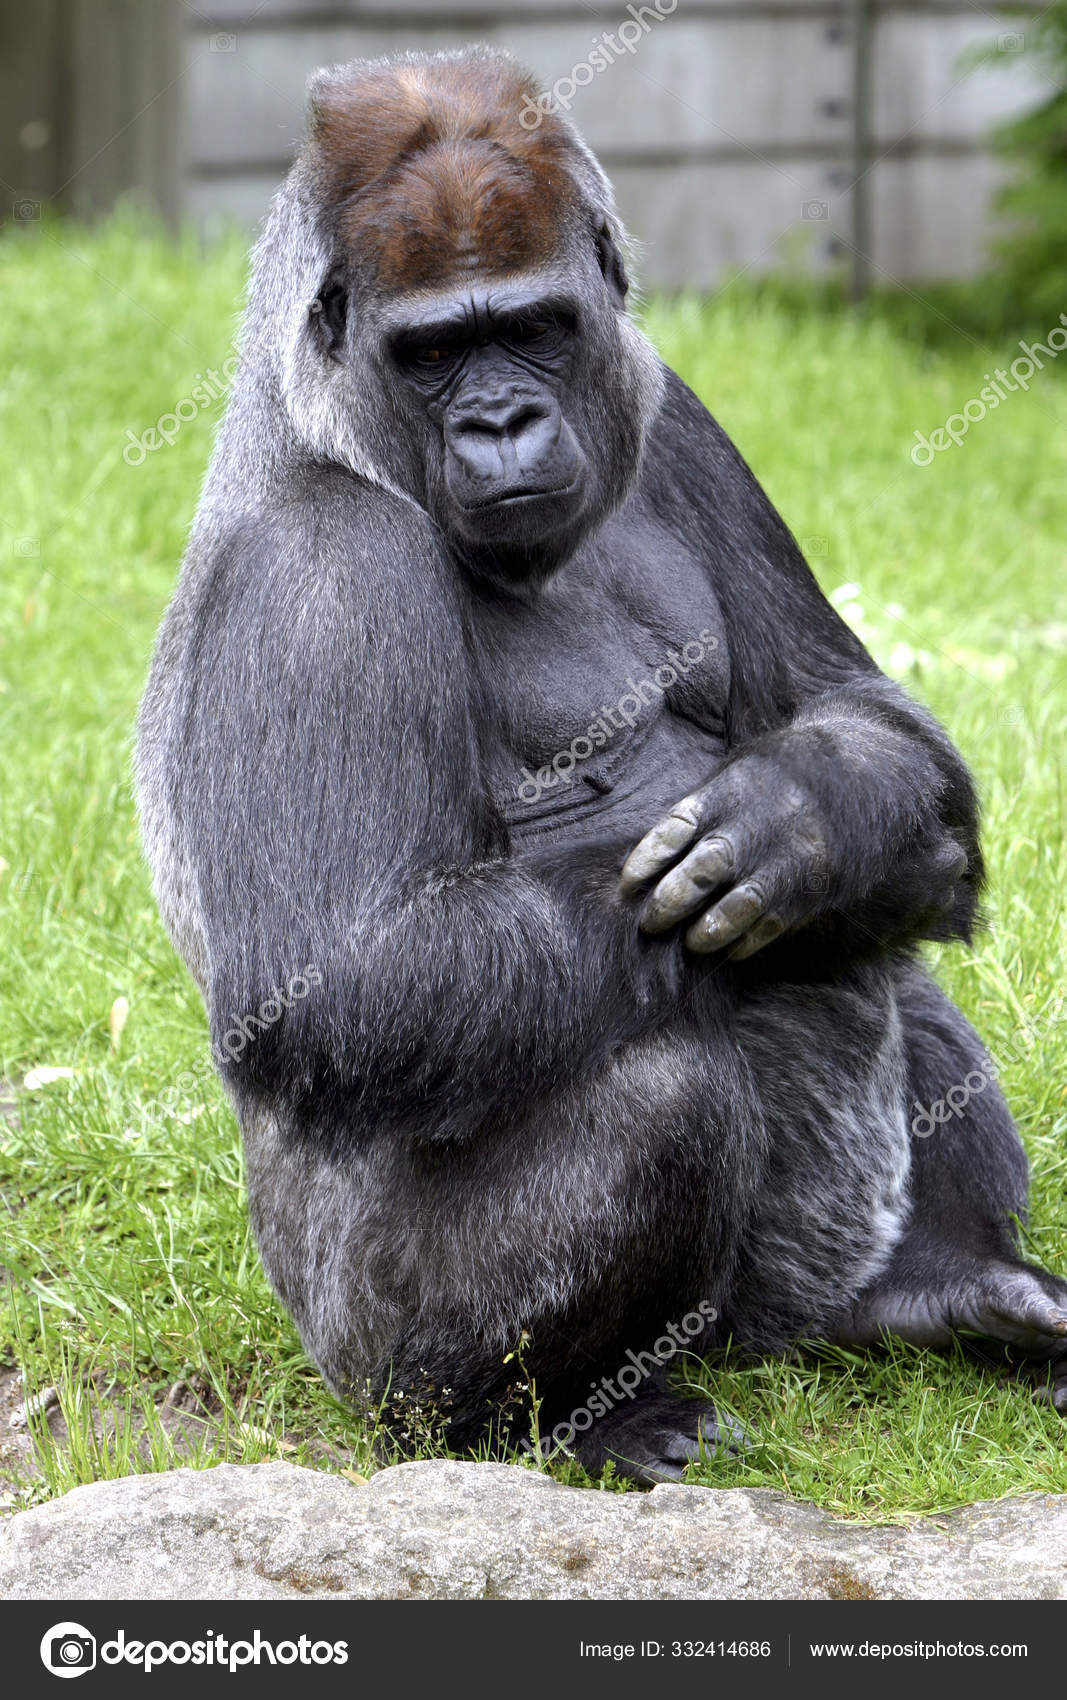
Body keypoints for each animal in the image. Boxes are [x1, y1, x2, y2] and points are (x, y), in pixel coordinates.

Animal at [137, 49, 1067, 1483]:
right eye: (432, 351)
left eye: (532, 328)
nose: (502, 419)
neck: (324, 417)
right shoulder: (316, 572)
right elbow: (345, 974)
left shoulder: (670, 406)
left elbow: (865, 720)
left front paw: (805, 822)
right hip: (364, 1362)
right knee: (663, 1094)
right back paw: (556, 1415)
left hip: (782, 1305)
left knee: (884, 939)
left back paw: (940, 1284)